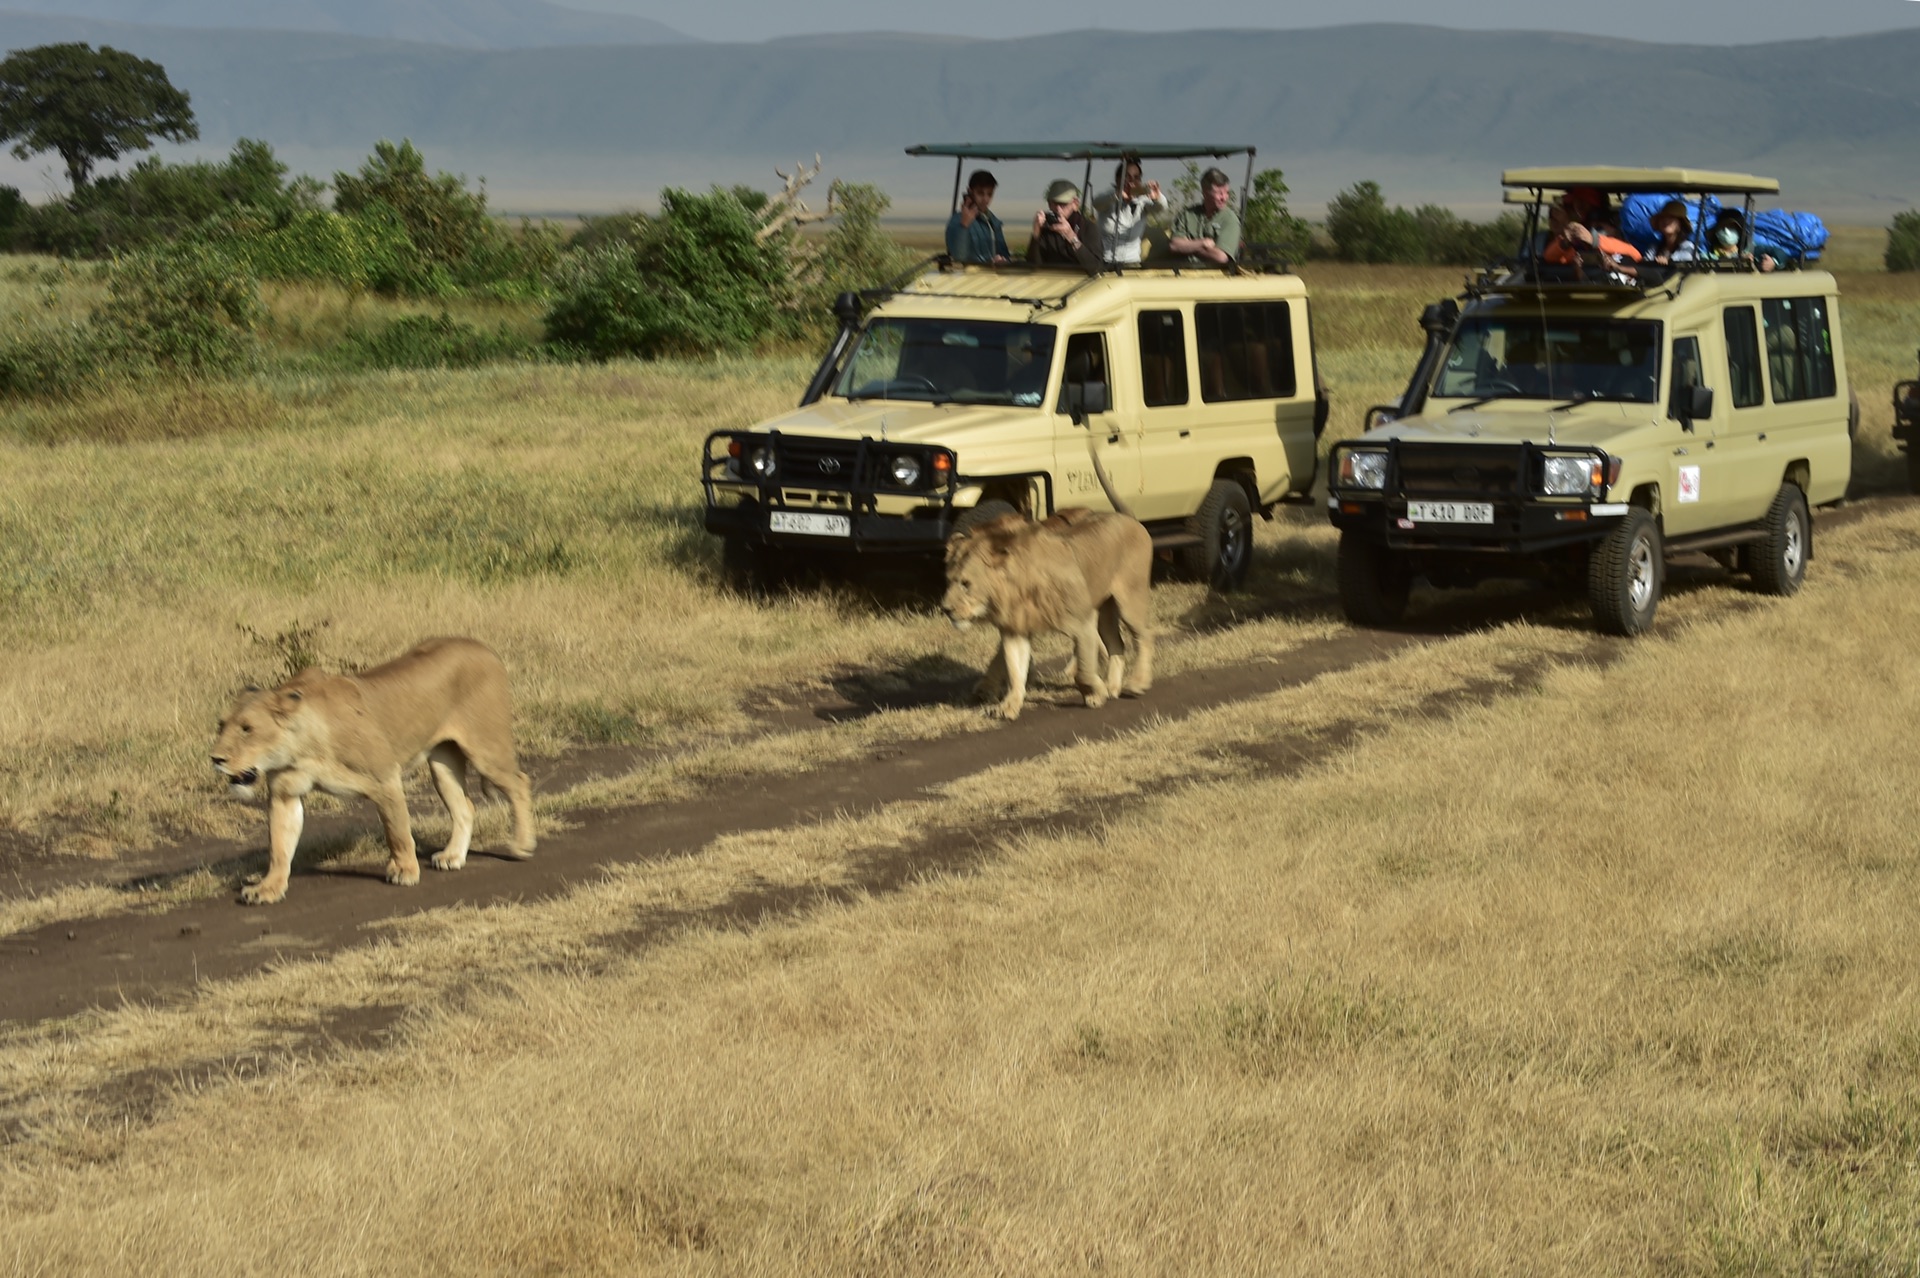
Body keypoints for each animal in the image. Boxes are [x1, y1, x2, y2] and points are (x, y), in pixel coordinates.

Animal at [211, 633, 537, 901]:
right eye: (221, 725)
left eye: (247, 729)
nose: (216, 759)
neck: (303, 747)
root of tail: (485, 648)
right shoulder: (284, 795)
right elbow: (279, 847)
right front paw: (267, 889)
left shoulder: (385, 778)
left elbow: (397, 831)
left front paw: (405, 871)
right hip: (442, 762)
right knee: (465, 806)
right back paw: (453, 856)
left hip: (486, 749)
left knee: (519, 782)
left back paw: (521, 845)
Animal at [944, 502, 1152, 717]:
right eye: (949, 580)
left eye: (966, 583)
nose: (945, 609)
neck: (1017, 588)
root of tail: (1129, 518)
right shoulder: (1015, 631)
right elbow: (1014, 671)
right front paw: (1009, 706)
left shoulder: (1083, 624)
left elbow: (1084, 671)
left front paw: (1096, 693)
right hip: (1105, 611)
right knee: (1117, 644)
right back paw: (1113, 686)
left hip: (1129, 600)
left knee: (1144, 635)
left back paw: (1138, 683)